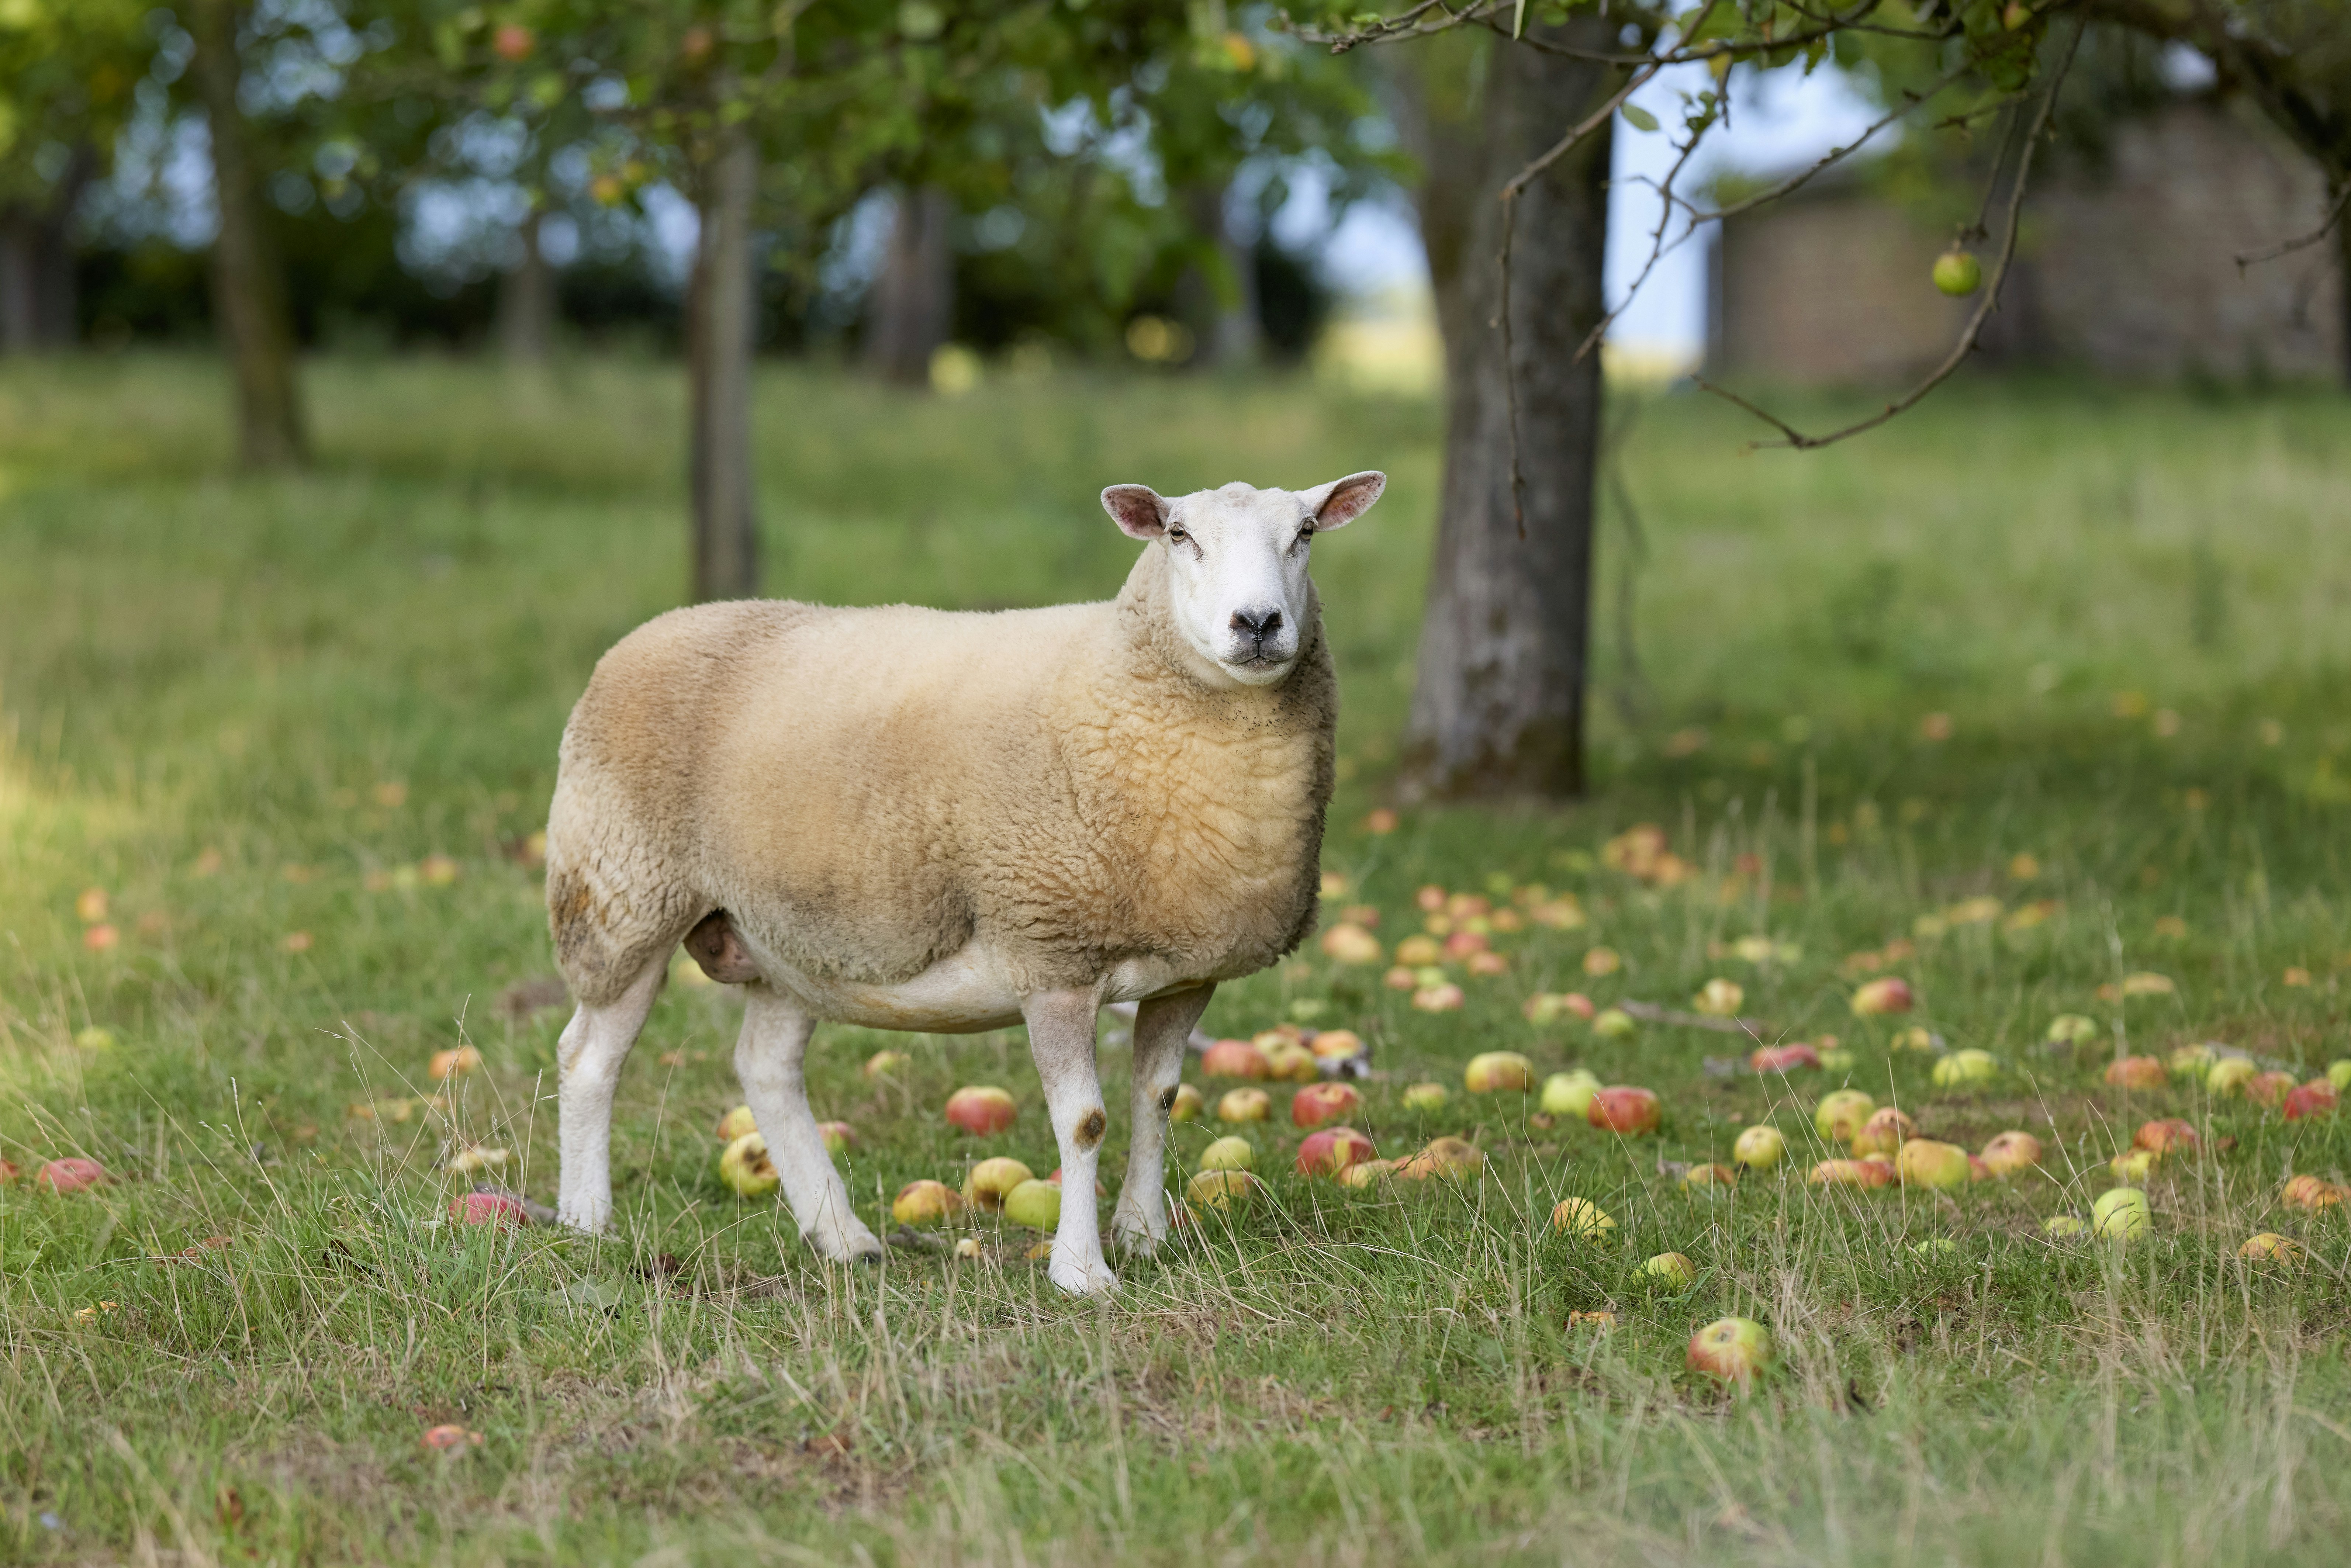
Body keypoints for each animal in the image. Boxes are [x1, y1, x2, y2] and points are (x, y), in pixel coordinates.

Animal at [544, 471, 1386, 1295]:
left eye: (1305, 532)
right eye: (1180, 536)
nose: (1258, 622)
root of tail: (655, 630)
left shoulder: (1186, 971)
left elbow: (1157, 1099)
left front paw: (1143, 1235)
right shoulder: (1051, 951)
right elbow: (1084, 1121)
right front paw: (1082, 1272)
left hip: (790, 931)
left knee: (765, 1066)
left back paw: (842, 1237)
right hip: (623, 892)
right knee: (589, 1058)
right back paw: (588, 1222)